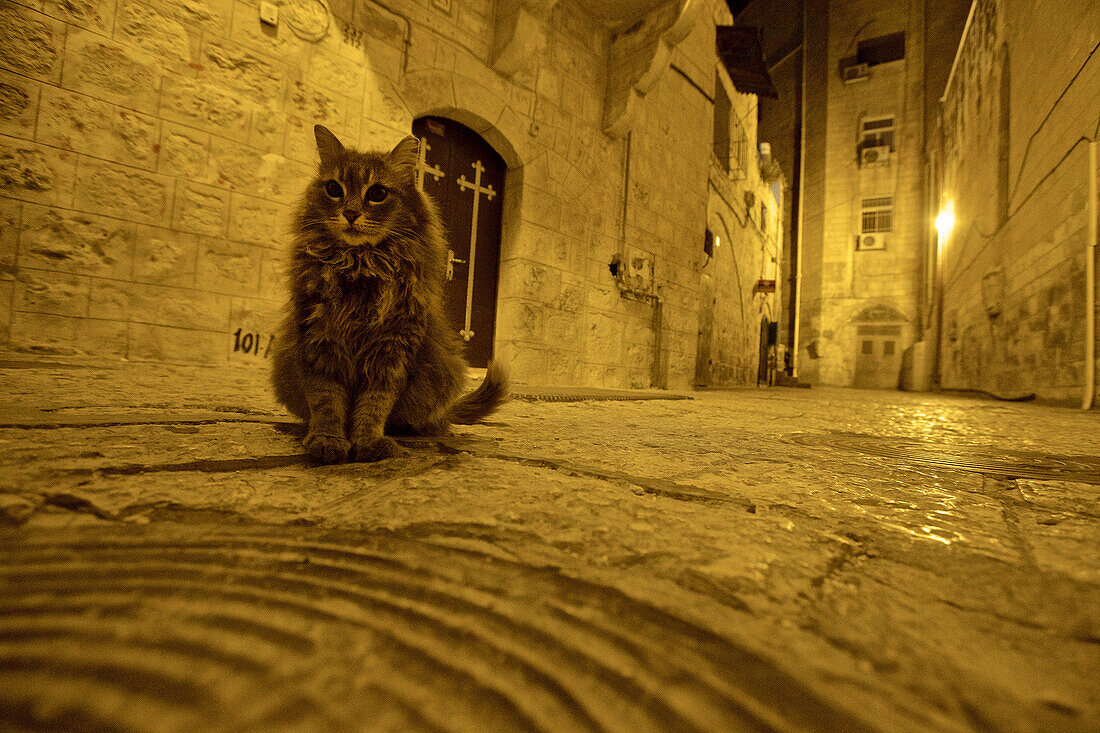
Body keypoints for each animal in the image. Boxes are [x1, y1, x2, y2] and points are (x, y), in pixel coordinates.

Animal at [270, 122, 506, 460]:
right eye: (334, 189)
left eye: (378, 193)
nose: (351, 213)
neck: (359, 265)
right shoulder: (317, 337)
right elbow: (326, 400)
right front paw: (328, 440)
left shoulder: (393, 344)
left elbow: (374, 404)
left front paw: (368, 442)